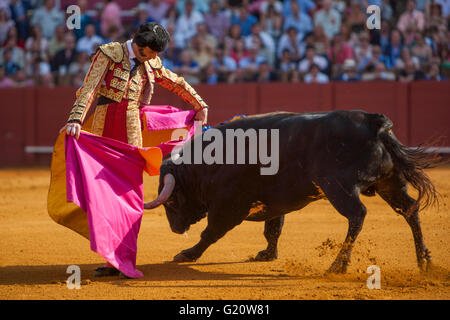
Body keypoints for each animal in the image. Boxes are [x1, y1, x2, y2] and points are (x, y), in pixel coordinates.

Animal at [144, 111, 440, 274]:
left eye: (171, 202)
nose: (175, 229)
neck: (207, 163)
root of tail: (374, 123)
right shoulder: (275, 203)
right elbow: (273, 229)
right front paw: (267, 255)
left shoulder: (228, 207)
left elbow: (211, 233)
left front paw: (187, 254)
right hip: (390, 183)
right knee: (409, 209)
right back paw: (424, 260)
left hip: (339, 188)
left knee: (357, 215)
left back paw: (338, 265)